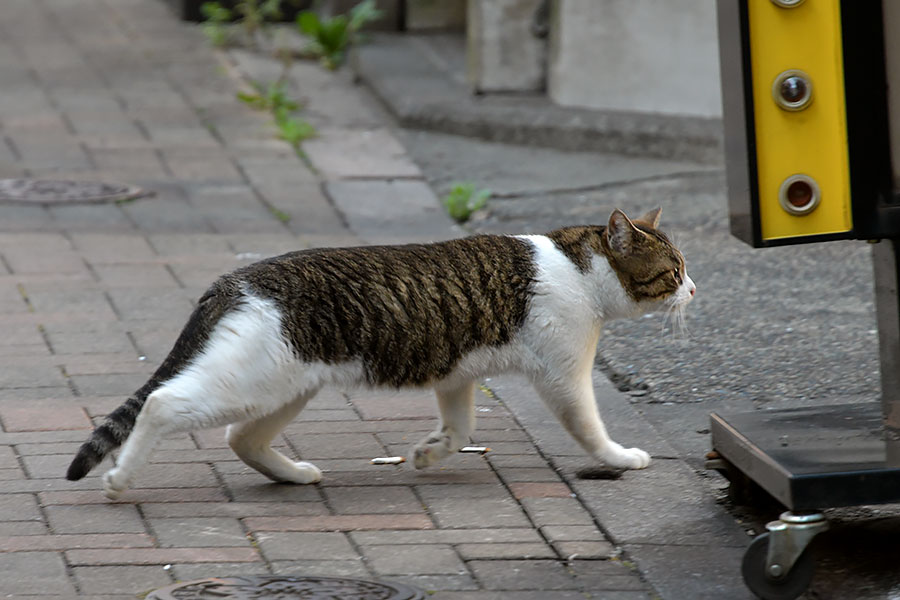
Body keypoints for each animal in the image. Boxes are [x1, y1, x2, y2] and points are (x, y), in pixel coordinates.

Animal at [67, 209, 696, 500]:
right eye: (673, 271)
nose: (694, 290)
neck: (579, 265)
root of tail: (237, 276)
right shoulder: (565, 375)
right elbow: (589, 428)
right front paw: (620, 458)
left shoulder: (456, 371)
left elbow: (460, 427)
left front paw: (427, 454)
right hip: (250, 381)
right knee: (163, 405)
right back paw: (119, 481)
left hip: (287, 384)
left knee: (241, 437)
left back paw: (293, 474)